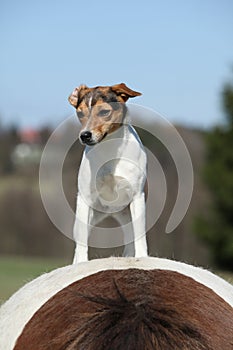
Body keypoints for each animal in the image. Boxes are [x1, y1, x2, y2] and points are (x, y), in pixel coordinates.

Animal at [68, 82, 147, 262]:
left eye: (104, 112)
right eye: (80, 113)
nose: (85, 135)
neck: (110, 149)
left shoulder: (136, 196)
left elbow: (140, 237)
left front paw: (143, 258)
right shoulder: (85, 198)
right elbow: (82, 240)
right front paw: (81, 263)